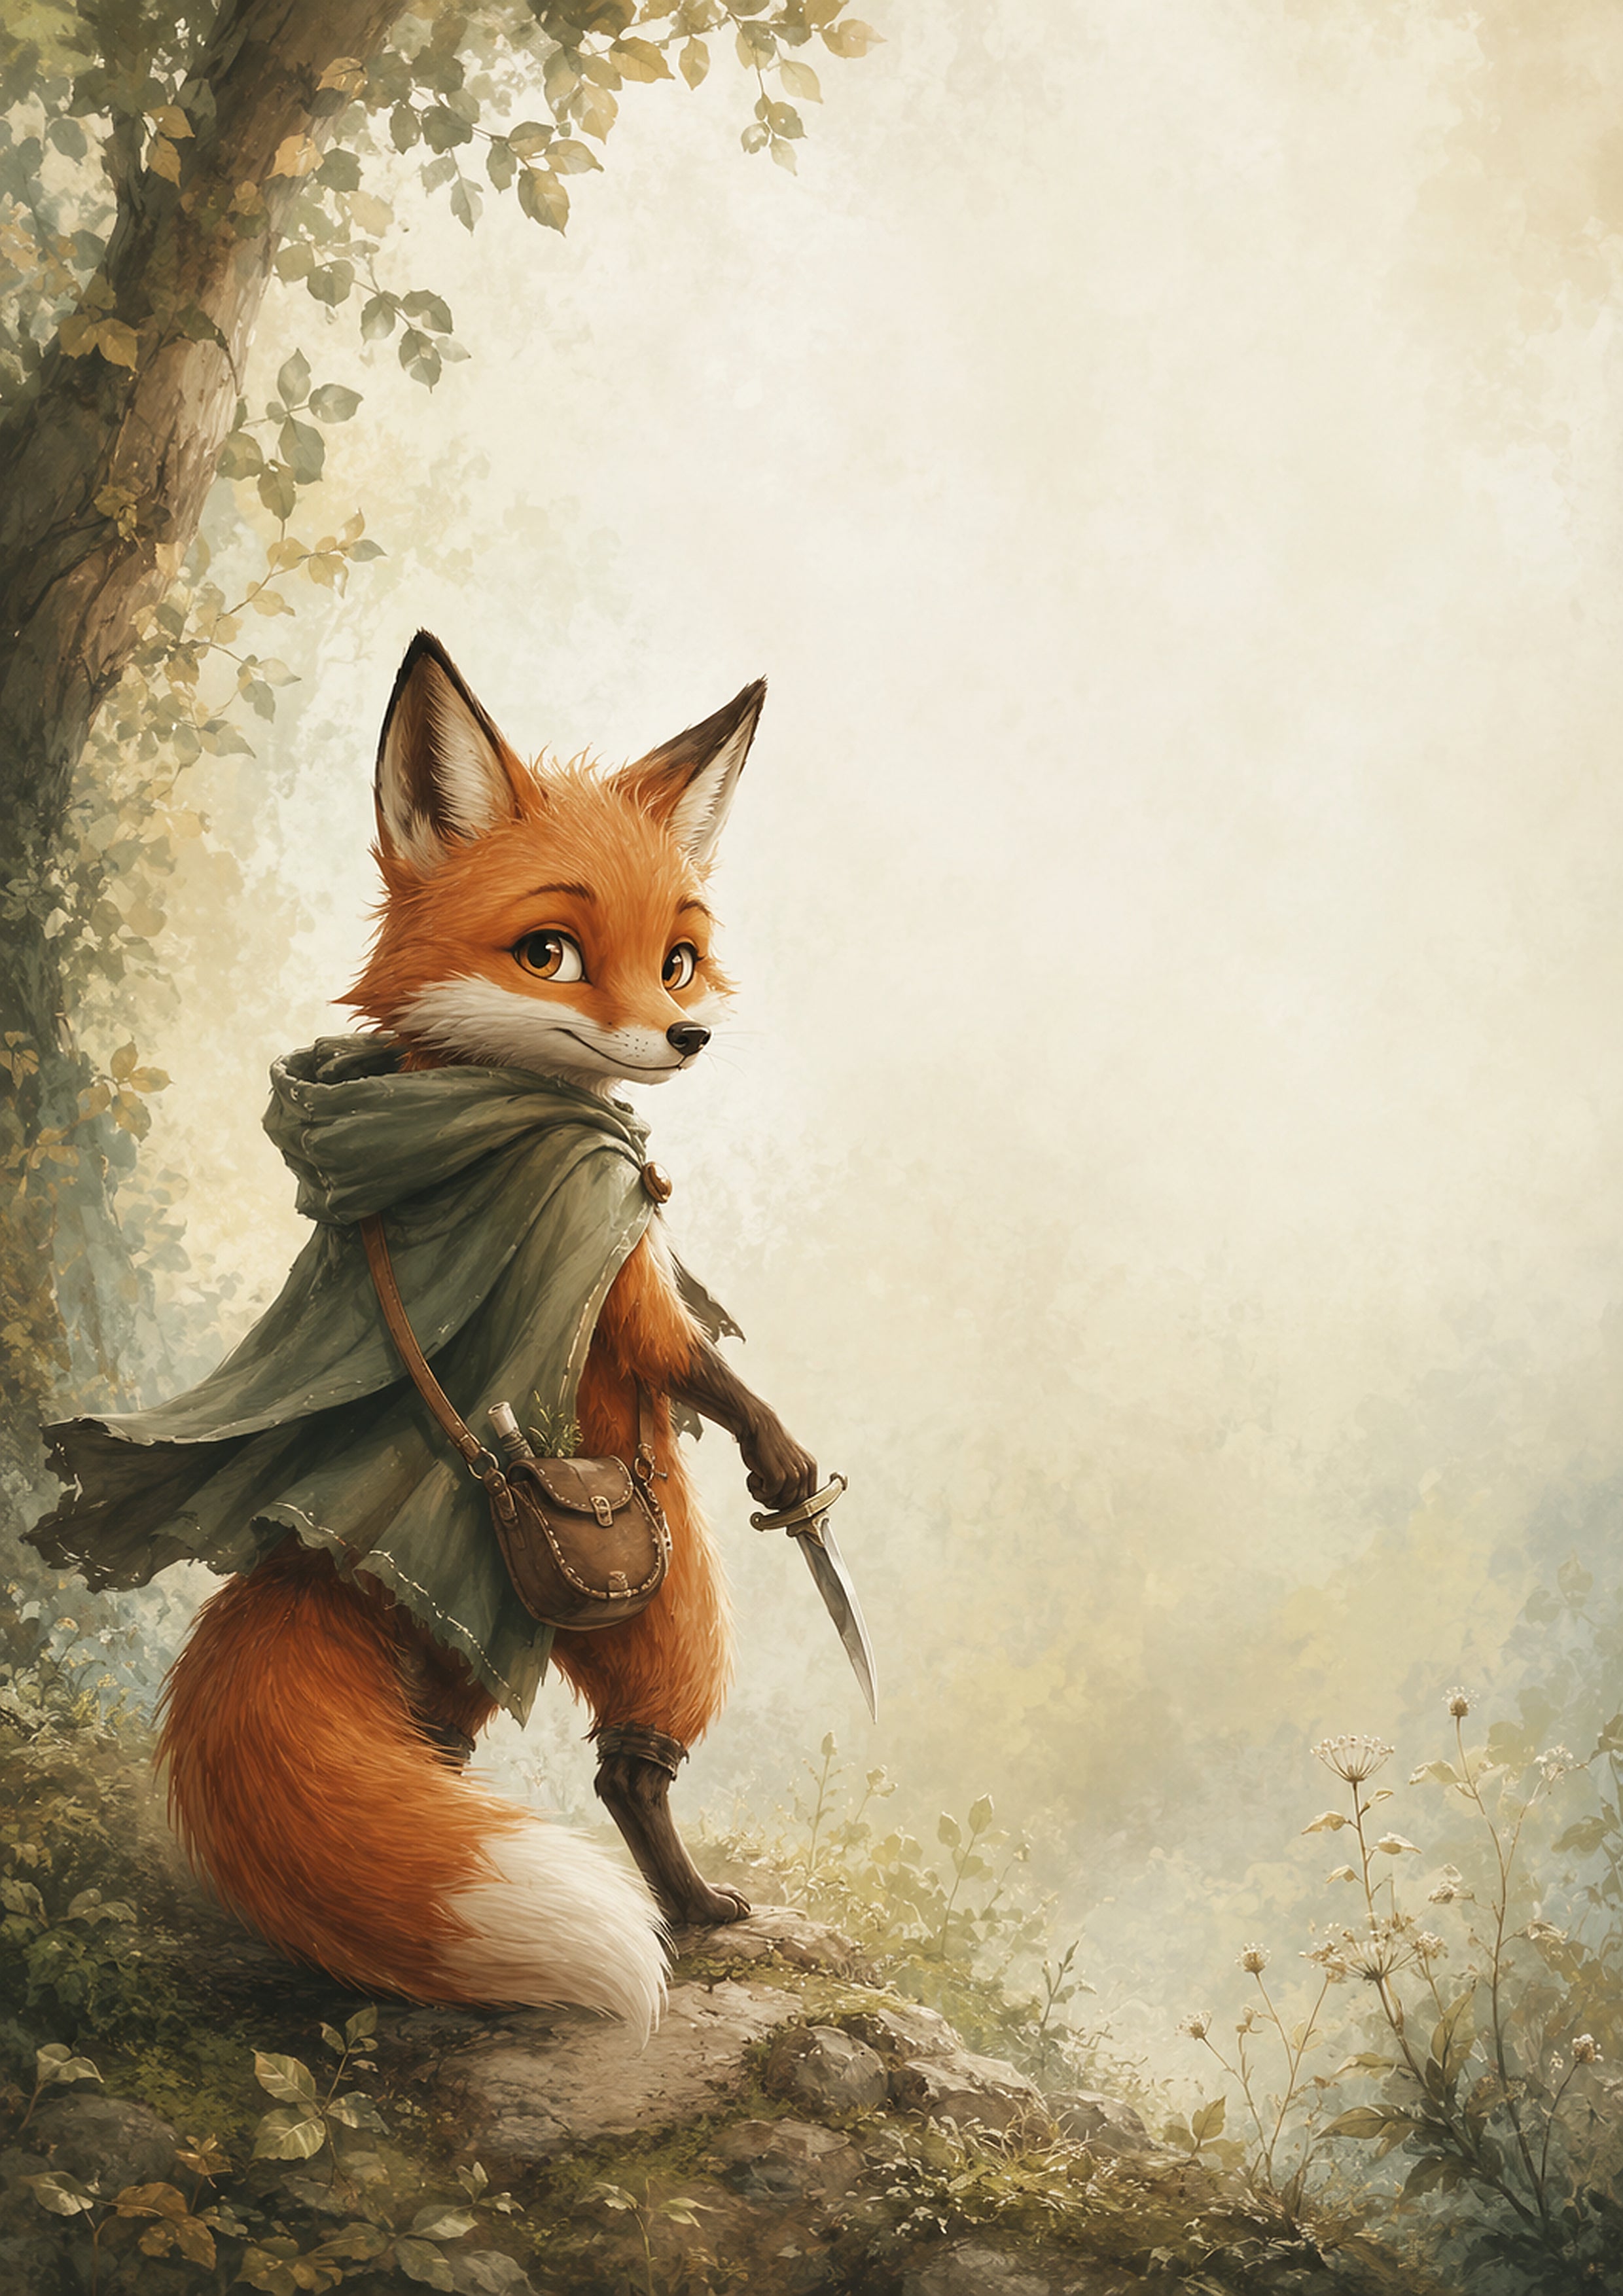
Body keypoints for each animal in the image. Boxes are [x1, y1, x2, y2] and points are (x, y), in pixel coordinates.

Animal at [151, 632, 821, 2036]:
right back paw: (689, 1911)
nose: (686, 1034)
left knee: (465, 1752)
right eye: (550, 951)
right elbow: (687, 1355)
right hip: (655, 1592)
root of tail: (321, 1546)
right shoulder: (609, 1221)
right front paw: (779, 1453)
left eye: (678, 960)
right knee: (628, 1769)